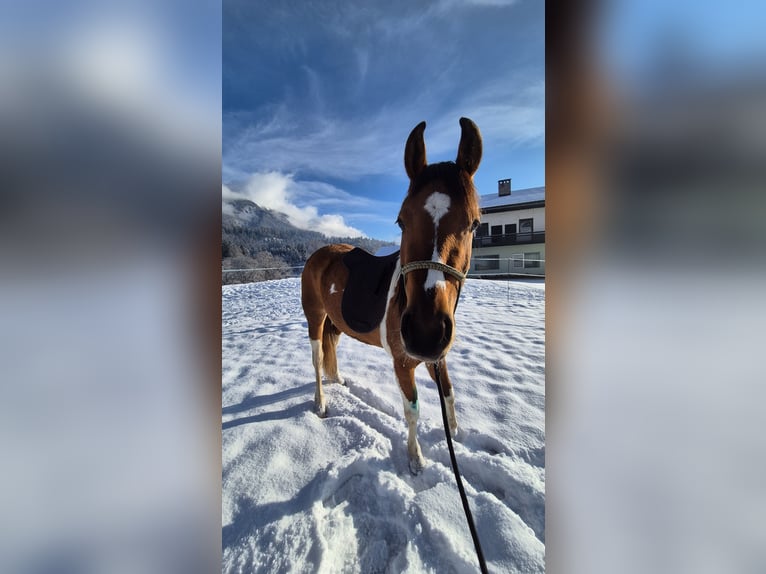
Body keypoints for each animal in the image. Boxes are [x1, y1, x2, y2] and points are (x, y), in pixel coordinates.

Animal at [301, 117, 482, 474]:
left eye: (474, 224)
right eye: (401, 221)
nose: (425, 333)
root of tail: (320, 253)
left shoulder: (438, 357)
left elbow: (449, 394)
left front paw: (454, 432)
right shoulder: (403, 364)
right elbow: (412, 411)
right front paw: (415, 459)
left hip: (335, 323)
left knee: (332, 350)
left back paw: (338, 379)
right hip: (315, 318)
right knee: (316, 360)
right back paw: (321, 403)